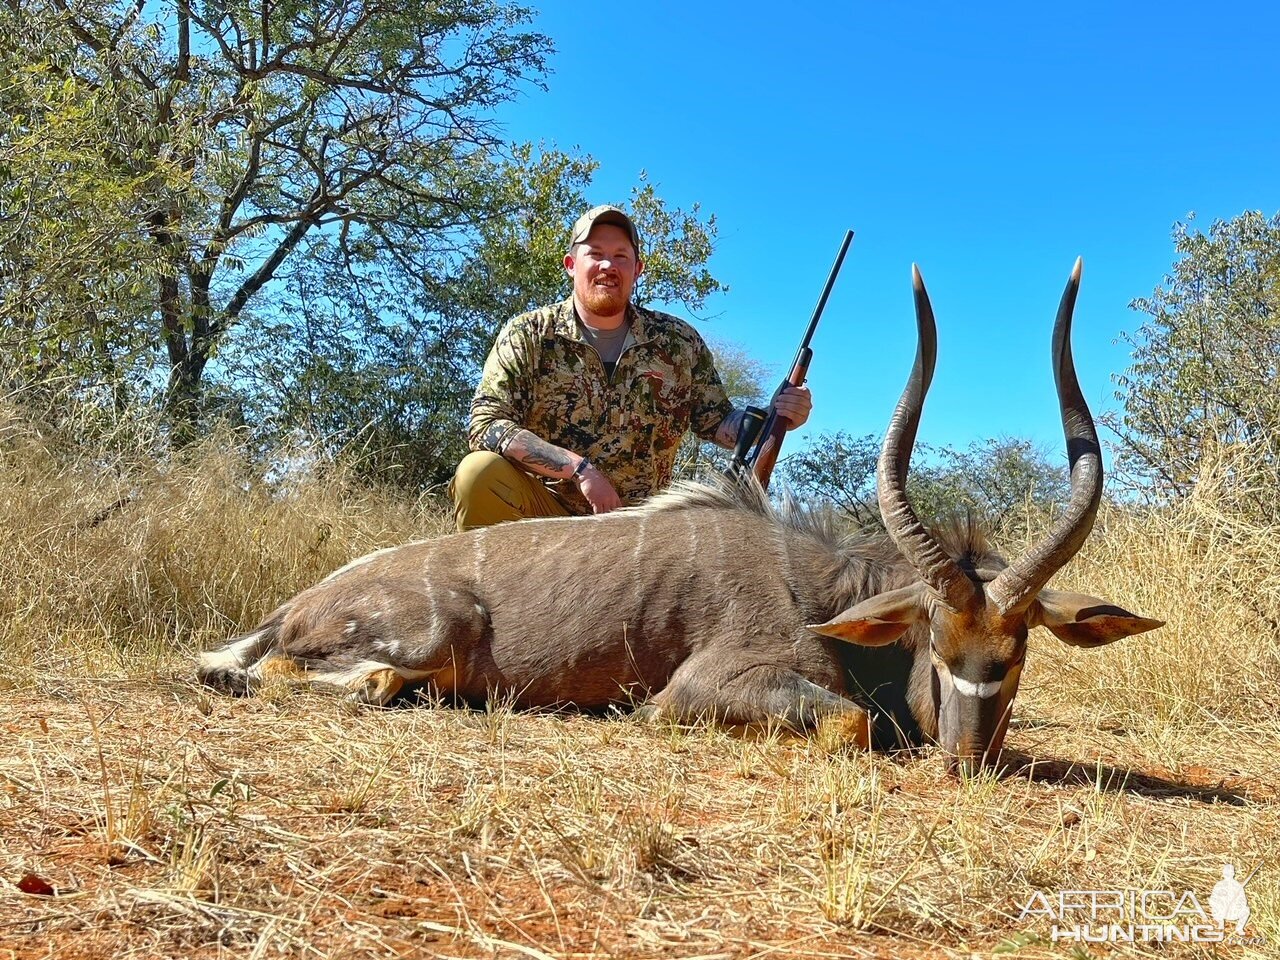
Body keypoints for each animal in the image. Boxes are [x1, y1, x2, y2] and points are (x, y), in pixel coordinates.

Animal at [197, 261, 1162, 773]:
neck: (823, 592)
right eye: (934, 631)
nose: (965, 758)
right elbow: (846, 722)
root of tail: (295, 605)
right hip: (428, 635)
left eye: (1019, 646)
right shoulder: (701, 688)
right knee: (298, 675)